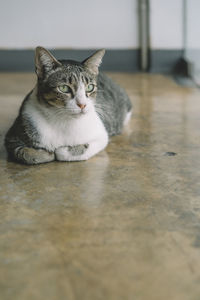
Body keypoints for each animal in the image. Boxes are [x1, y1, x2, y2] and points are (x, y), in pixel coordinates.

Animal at [3, 46, 132, 164]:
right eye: (64, 88)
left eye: (90, 87)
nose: (82, 105)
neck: (62, 120)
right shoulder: (12, 135)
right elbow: (23, 153)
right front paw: (45, 154)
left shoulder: (101, 136)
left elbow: (67, 152)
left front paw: (59, 151)